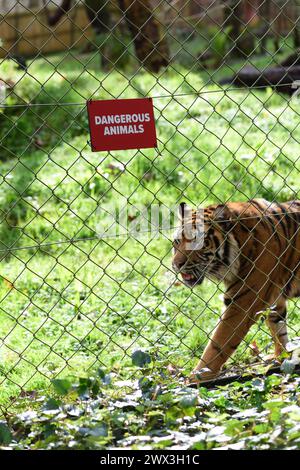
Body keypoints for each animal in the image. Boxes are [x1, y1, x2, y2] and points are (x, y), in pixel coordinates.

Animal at [171, 198, 300, 382]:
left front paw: (196, 380)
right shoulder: (274, 301)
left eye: (196, 242)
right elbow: (279, 331)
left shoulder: (243, 303)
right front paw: (281, 359)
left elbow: (217, 346)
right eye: (176, 242)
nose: (176, 264)